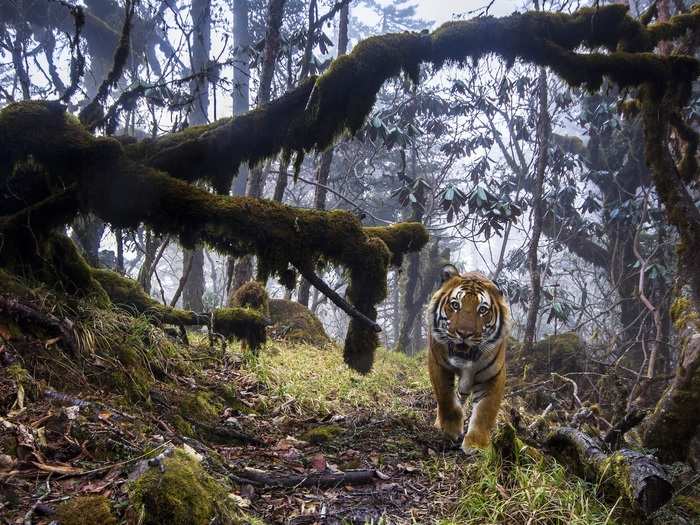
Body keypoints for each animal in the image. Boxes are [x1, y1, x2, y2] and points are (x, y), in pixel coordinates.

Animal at [426, 264, 508, 452]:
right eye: (455, 305)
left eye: (482, 310)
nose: (464, 333)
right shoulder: (437, 363)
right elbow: (446, 398)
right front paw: (450, 429)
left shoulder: (493, 375)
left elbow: (485, 410)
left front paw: (477, 444)